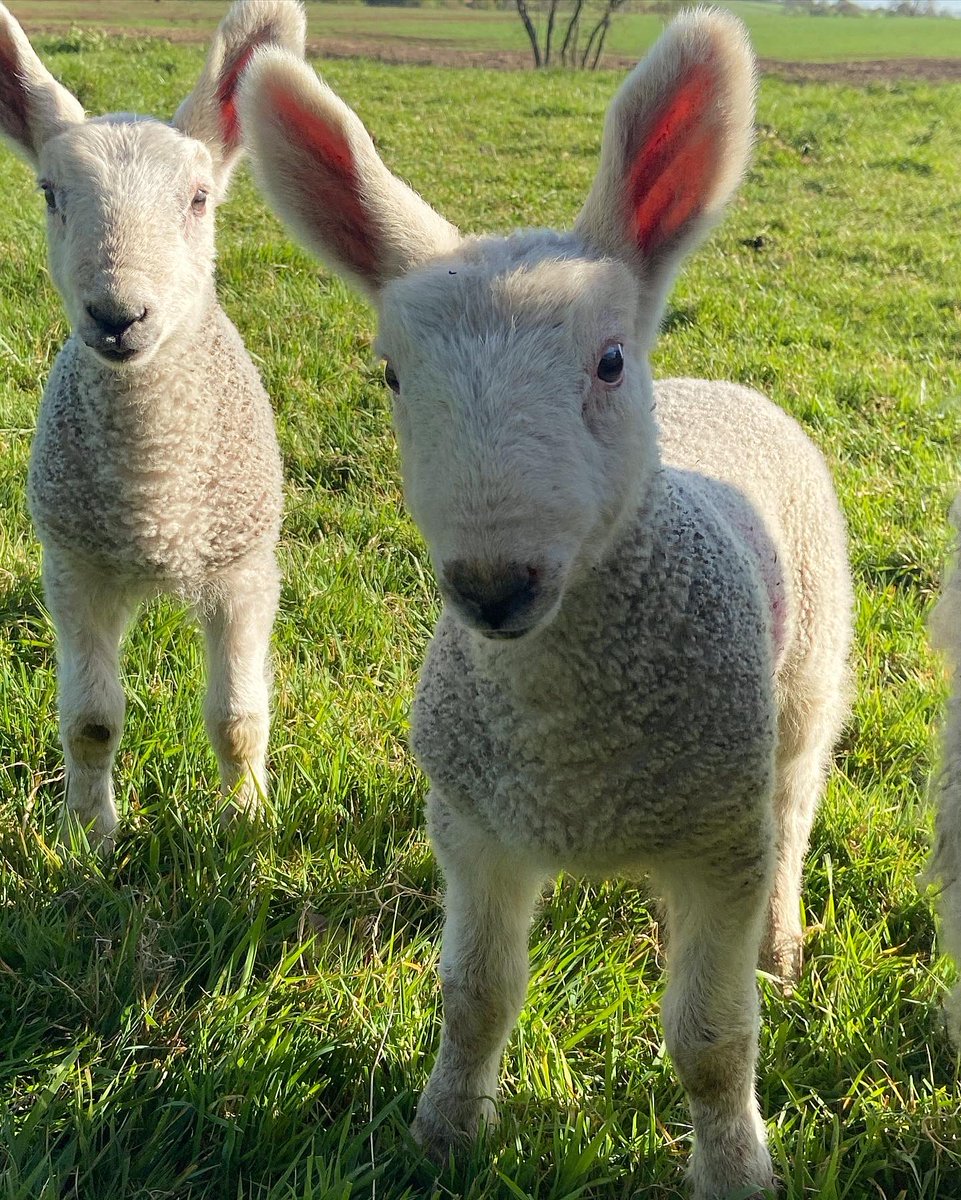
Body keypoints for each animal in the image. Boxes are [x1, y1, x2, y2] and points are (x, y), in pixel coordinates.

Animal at [0, 0, 305, 851]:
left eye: (199, 198)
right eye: (50, 193)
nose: (118, 315)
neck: (153, 486)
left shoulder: (244, 568)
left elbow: (237, 717)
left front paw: (245, 820)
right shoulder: (74, 569)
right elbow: (91, 723)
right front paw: (89, 837)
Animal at [238, 9, 853, 1196]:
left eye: (608, 361)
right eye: (390, 376)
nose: (494, 581)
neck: (570, 737)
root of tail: (716, 385)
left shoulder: (720, 837)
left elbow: (712, 1045)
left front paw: (734, 1168)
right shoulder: (476, 823)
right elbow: (474, 998)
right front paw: (444, 1130)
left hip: (805, 684)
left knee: (796, 804)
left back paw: (780, 944)